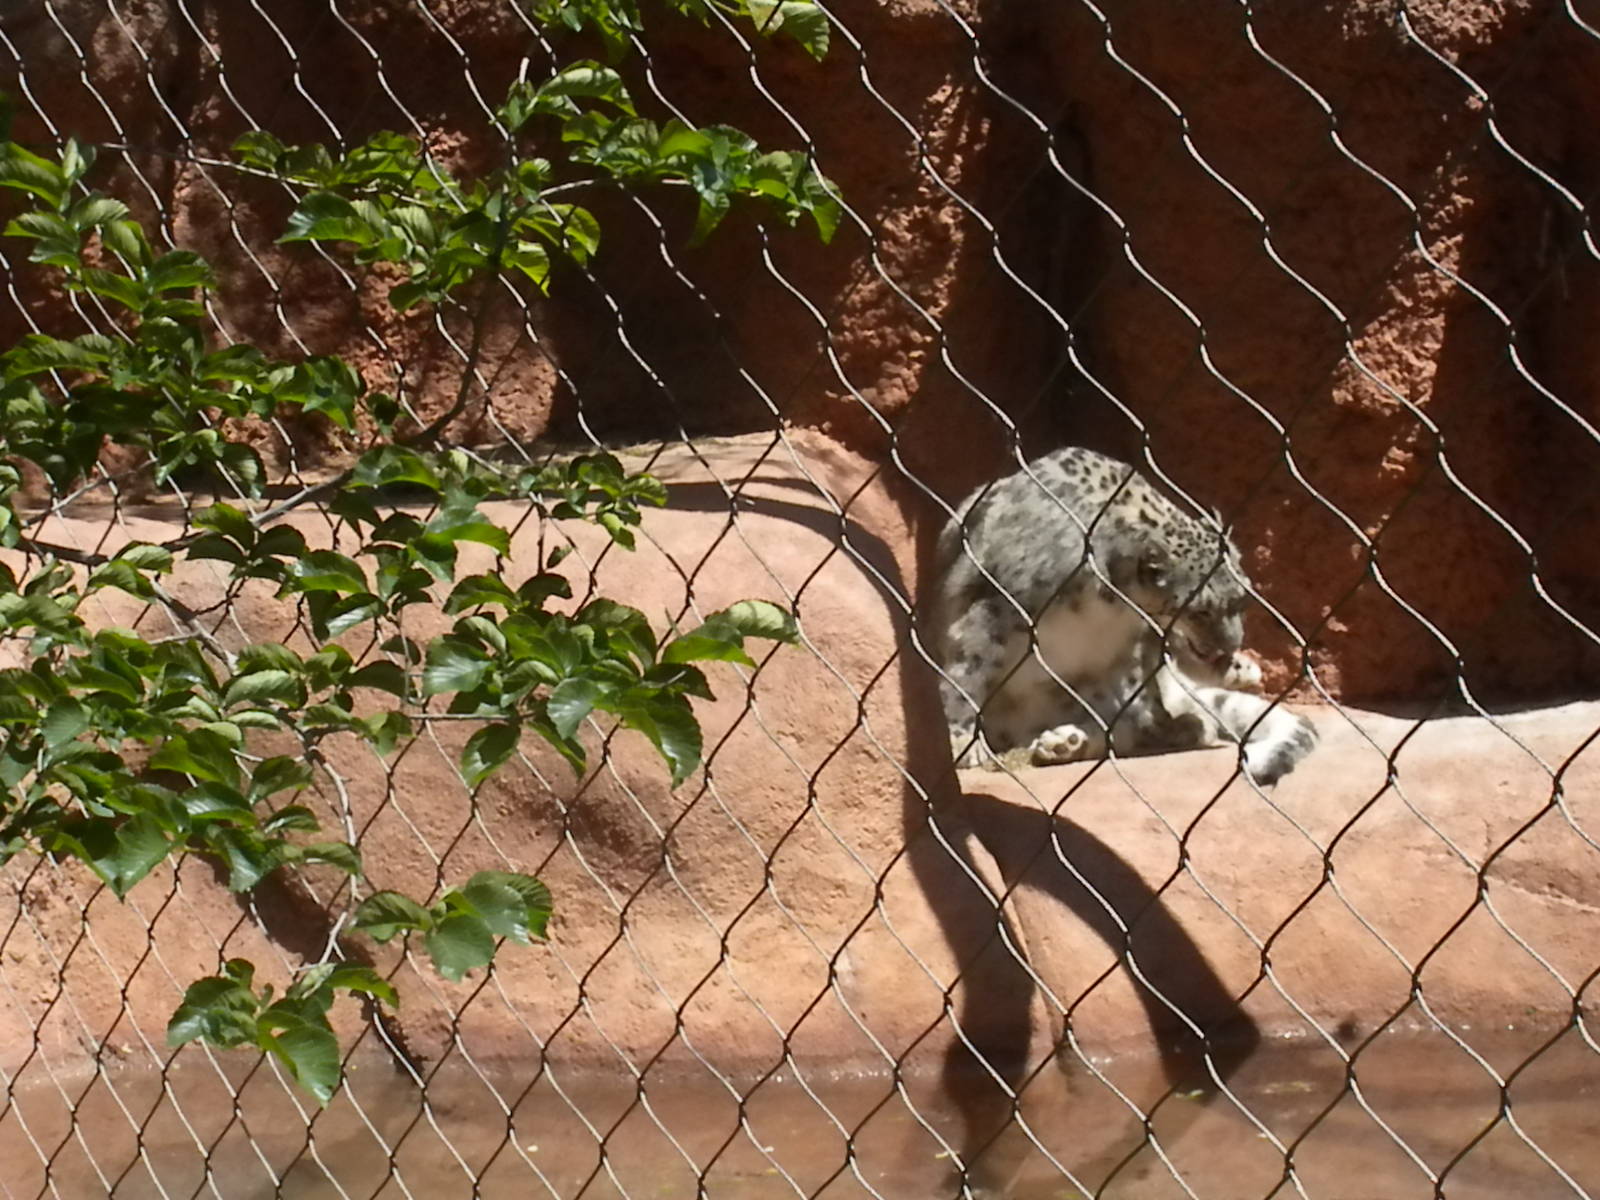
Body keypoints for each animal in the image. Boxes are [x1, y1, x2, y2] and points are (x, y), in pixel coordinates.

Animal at [928, 446, 1317, 786]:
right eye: (1201, 611)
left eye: (1241, 601)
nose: (1232, 643)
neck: (1108, 603)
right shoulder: (995, 606)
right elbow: (969, 669)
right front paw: (960, 738)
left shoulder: (1138, 644)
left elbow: (1146, 698)